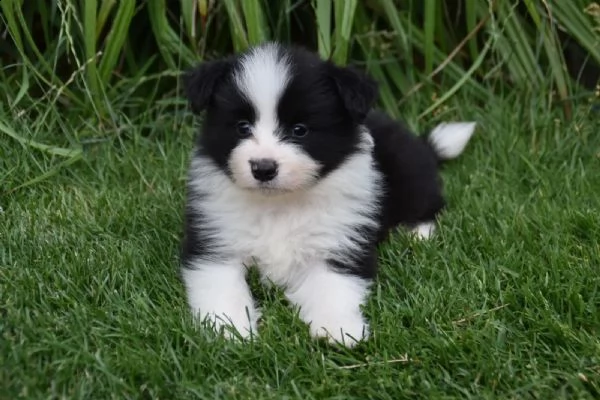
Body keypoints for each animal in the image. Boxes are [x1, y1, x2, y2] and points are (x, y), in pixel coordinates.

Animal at [180, 42, 476, 346]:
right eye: (242, 127)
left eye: (300, 130)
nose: (263, 168)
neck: (280, 203)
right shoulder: (215, 240)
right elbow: (221, 286)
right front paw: (228, 330)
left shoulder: (341, 239)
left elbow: (333, 285)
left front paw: (338, 328)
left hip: (409, 171)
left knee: (429, 202)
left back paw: (417, 234)